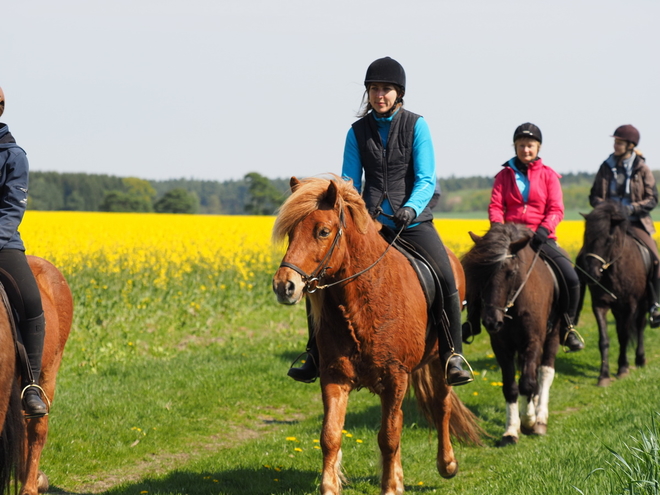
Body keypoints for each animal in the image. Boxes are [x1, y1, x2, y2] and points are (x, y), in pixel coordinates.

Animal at [270, 177, 482, 495]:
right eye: (291, 232)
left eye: (323, 231)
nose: (285, 286)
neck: (363, 298)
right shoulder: (334, 376)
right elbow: (330, 435)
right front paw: (330, 486)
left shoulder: (395, 377)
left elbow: (389, 436)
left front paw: (391, 486)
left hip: (439, 361)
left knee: (441, 406)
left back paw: (447, 464)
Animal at [462, 223, 560, 448]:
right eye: (480, 274)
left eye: (511, 272)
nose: (491, 321)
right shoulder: (501, 346)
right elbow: (511, 387)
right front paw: (511, 431)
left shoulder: (533, 341)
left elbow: (527, 383)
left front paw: (529, 421)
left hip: (553, 335)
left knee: (544, 372)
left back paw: (540, 419)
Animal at [576, 201, 648, 388]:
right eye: (586, 237)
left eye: (608, 240)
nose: (591, 274)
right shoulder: (600, 305)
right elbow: (604, 340)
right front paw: (604, 375)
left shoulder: (631, 305)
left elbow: (624, 336)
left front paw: (622, 369)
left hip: (643, 304)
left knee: (640, 326)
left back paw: (640, 359)